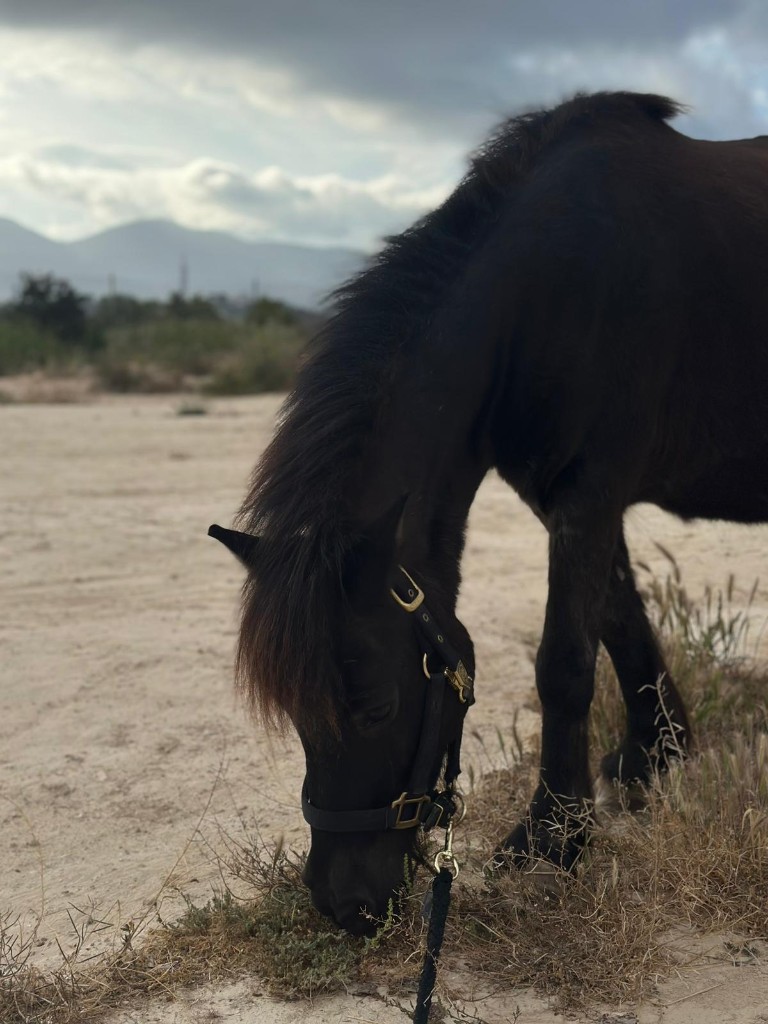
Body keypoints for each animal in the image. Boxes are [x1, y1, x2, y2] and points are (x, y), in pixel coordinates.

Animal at [210, 91, 768, 937]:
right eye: (295, 712)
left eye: (376, 706)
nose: (345, 906)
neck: (551, 292)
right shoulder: (564, 496)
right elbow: (621, 622)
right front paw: (653, 759)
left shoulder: (590, 492)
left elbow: (564, 663)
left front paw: (554, 834)